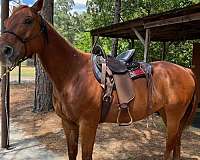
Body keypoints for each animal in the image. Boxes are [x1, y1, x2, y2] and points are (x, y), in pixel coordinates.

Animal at [0, 0, 197, 159]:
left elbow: (86, 155)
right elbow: (72, 153)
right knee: (177, 145)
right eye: (5, 22)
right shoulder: (68, 124)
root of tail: (187, 71)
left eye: (28, 20)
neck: (73, 74)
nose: (4, 51)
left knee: (169, 148)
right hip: (167, 115)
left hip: (173, 117)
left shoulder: (88, 124)